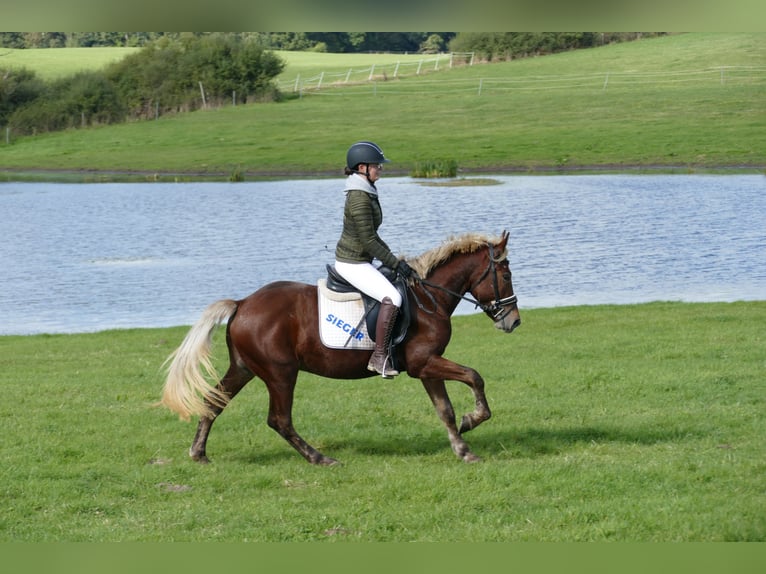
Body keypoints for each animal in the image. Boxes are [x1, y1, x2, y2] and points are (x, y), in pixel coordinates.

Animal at [160, 232, 520, 466]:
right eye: (506, 274)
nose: (513, 321)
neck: (427, 298)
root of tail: (243, 303)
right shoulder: (424, 363)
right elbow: (474, 376)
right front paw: (474, 419)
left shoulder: (427, 365)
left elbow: (445, 409)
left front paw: (464, 448)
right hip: (280, 373)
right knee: (279, 420)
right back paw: (320, 458)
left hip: (244, 368)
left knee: (213, 402)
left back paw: (199, 453)